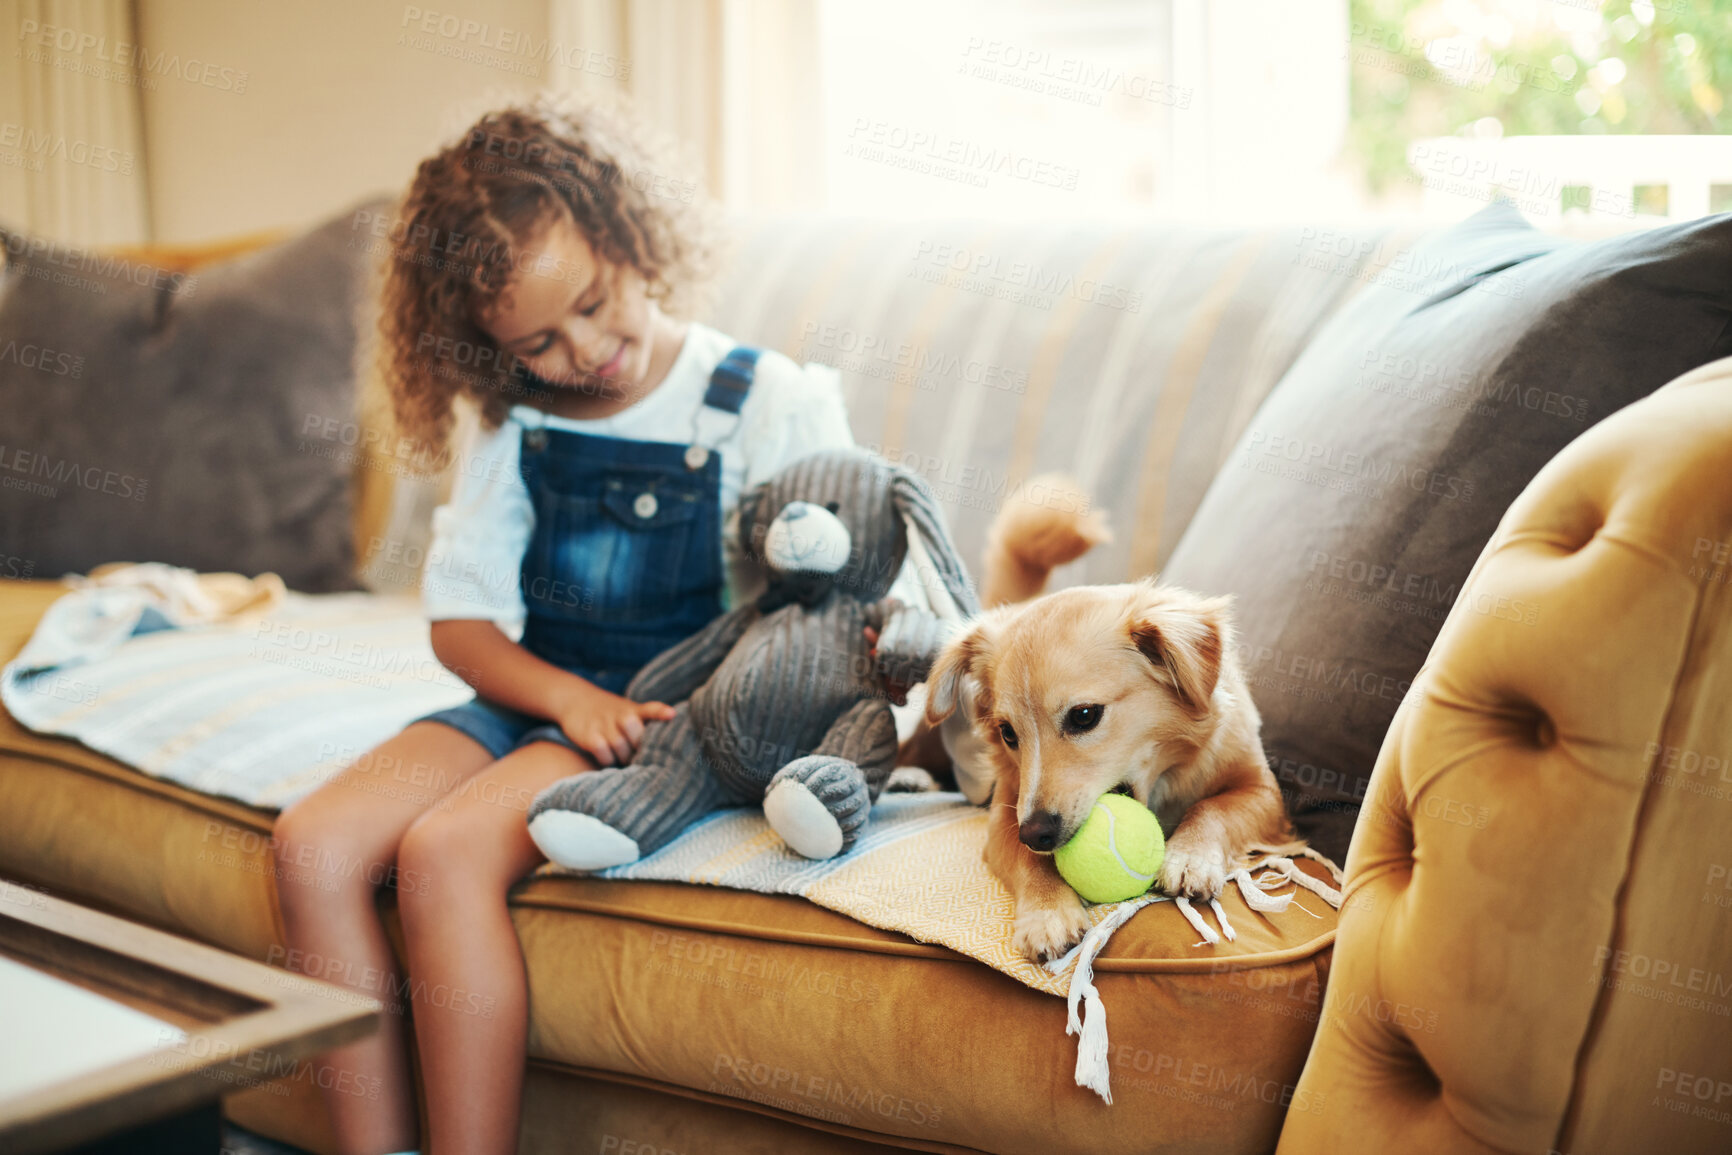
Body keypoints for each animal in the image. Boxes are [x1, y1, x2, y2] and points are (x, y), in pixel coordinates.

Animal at [928, 574, 1295, 962]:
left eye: (1084, 715)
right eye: (1007, 732)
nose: (1035, 833)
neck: (1167, 773)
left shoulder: (1264, 790)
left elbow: (1212, 808)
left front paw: (1190, 856)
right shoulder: (1005, 811)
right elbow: (1026, 858)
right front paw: (1046, 911)